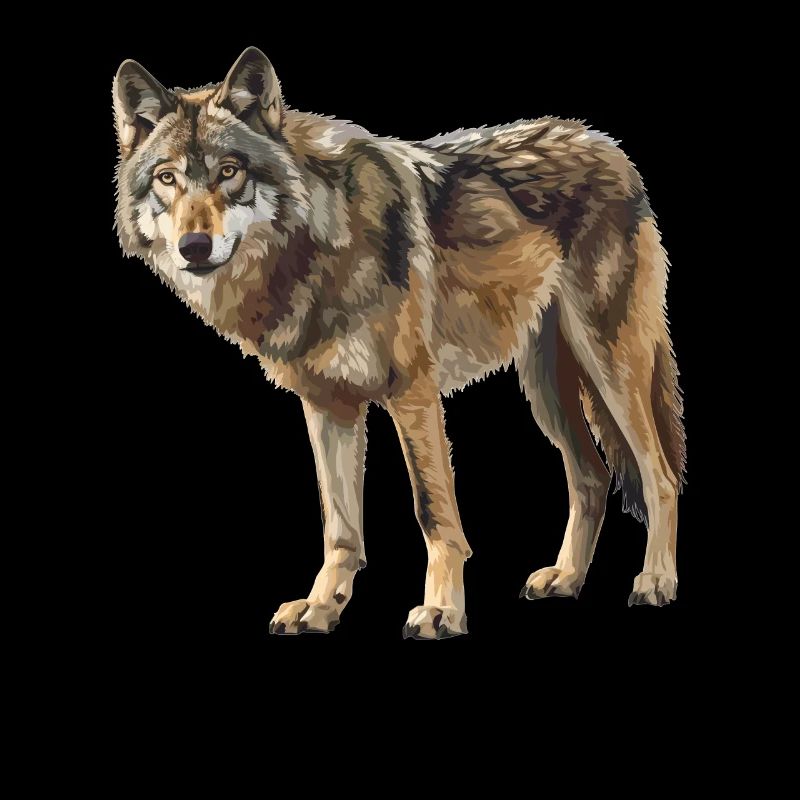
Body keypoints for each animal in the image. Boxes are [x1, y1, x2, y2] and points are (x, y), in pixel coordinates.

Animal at [113, 47, 686, 639]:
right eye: (167, 178)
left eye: (229, 172)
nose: (194, 246)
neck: (318, 244)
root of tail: (607, 146)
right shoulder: (328, 405)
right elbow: (340, 527)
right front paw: (321, 607)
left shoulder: (413, 393)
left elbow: (433, 512)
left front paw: (441, 610)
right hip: (546, 389)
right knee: (592, 477)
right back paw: (566, 578)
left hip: (610, 368)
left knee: (660, 475)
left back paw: (655, 581)